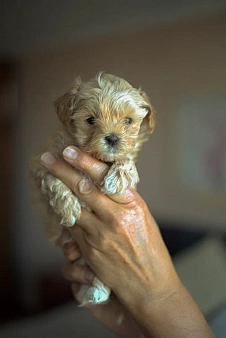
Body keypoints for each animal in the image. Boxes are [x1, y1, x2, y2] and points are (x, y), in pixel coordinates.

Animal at [29, 72, 155, 308]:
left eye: (128, 121)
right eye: (90, 120)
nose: (113, 138)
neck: (96, 158)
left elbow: (126, 160)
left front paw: (118, 176)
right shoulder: (42, 164)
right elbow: (54, 180)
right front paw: (69, 208)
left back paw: (97, 290)